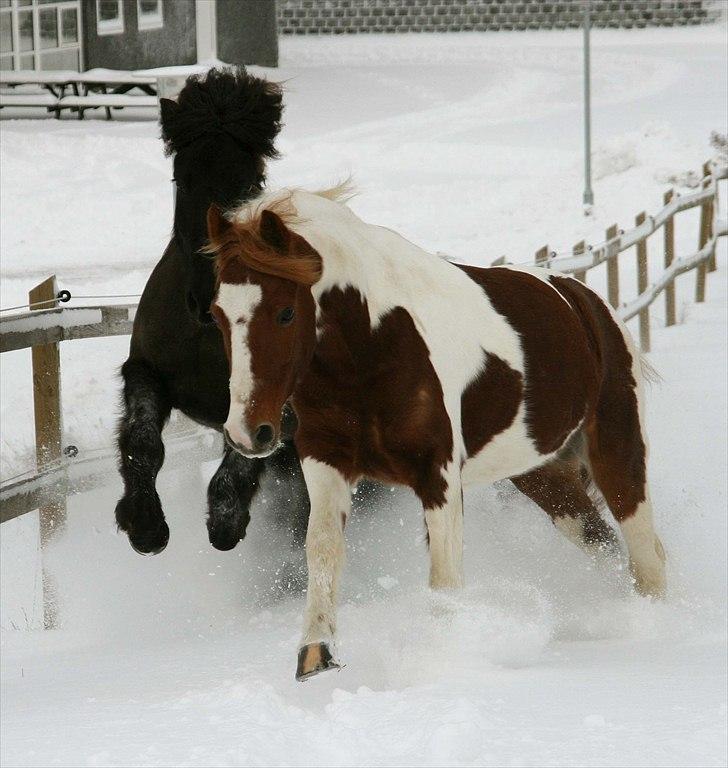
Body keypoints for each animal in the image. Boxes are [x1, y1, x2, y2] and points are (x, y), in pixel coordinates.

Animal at [115, 69, 308, 556]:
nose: (205, 299)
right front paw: (144, 524)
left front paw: (225, 521)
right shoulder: (145, 370)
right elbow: (142, 440)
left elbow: (241, 455)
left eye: (249, 184)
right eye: (181, 180)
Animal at [205, 189, 664, 680]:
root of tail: (588, 304)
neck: (371, 347)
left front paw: (442, 655)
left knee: (645, 550)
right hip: (541, 475)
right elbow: (323, 547)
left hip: (618, 449)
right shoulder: (326, 462)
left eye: (286, 312)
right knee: (605, 544)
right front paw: (315, 652)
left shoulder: (438, 475)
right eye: (217, 314)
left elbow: (444, 574)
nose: (247, 432)